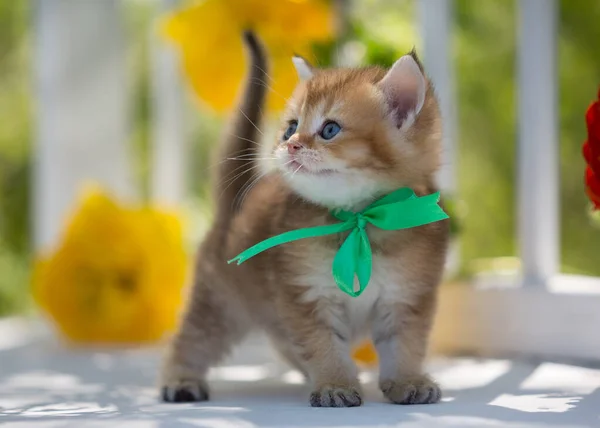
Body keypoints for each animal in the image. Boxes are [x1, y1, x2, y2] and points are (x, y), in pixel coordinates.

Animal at [161, 31, 450, 406]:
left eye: (330, 129)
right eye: (290, 128)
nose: (292, 145)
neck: (358, 220)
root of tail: (235, 207)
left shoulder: (407, 296)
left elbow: (405, 345)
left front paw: (407, 381)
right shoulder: (306, 295)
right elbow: (322, 345)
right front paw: (335, 384)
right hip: (220, 302)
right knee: (193, 338)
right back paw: (181, 378)